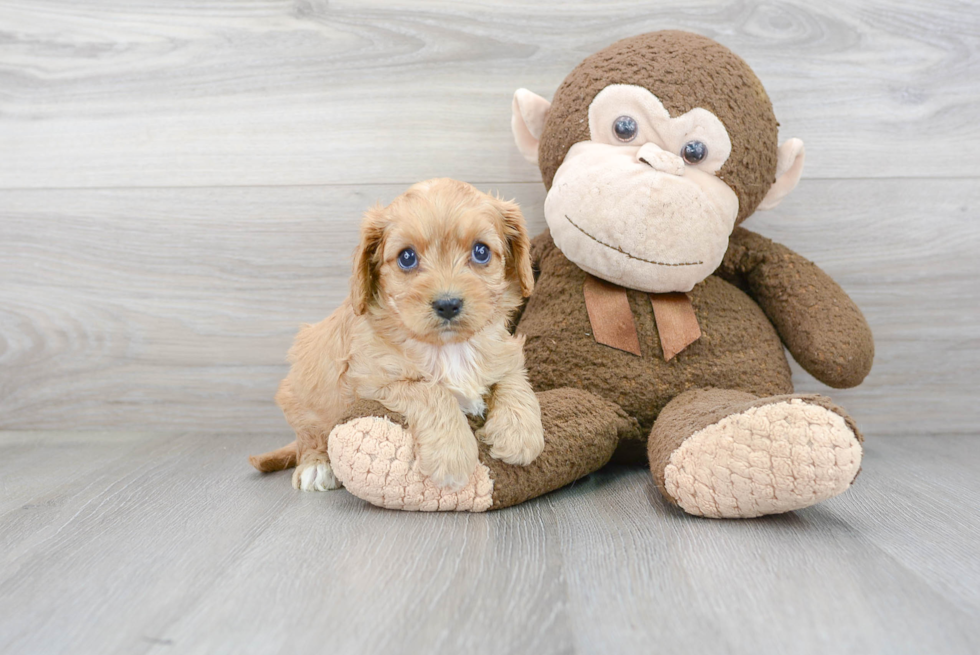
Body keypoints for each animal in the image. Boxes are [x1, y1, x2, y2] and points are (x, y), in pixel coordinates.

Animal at [249, 179, 544, 492]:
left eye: (481, 251)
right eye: (407, 257)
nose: (448, 304)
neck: (447, 348)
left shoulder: (502, 351)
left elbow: (513, 377)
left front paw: (519, 433)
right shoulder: (373, 382)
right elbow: (430, 390)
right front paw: (452, 456)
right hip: (302, 395)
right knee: (308, 438)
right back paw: (316, 465)